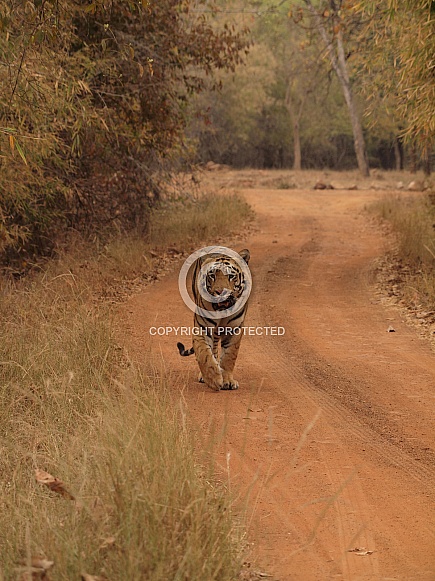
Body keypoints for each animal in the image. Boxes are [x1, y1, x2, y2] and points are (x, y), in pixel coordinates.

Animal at [177, 248, 252, 390]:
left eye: (231, 276)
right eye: (212, 275)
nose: (220, 292)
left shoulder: (234, 330)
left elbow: (229, 356)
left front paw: (227, 380)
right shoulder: (202, 329)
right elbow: (205, 354)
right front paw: (214, 379)